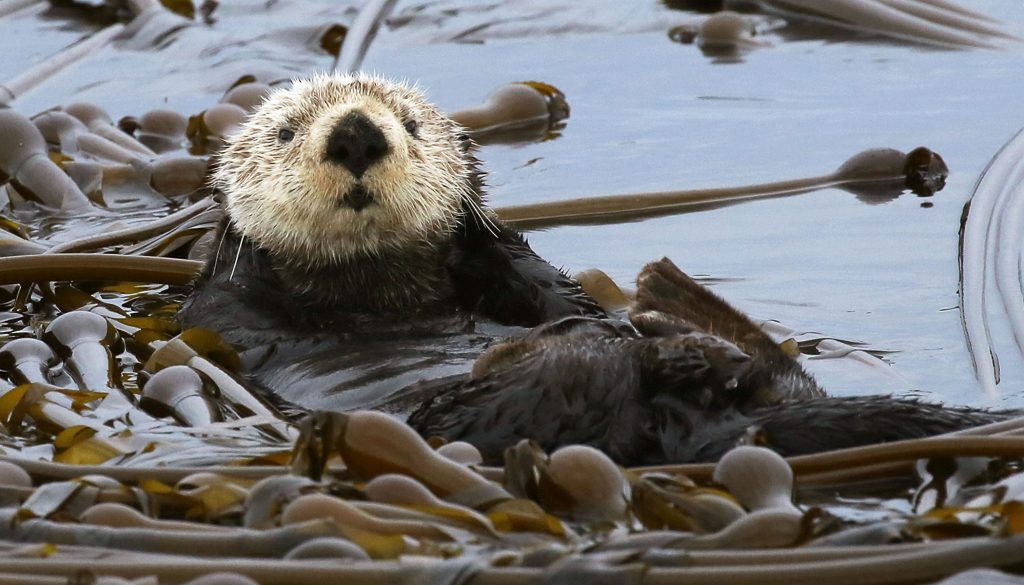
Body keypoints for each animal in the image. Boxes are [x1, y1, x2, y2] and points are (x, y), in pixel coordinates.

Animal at [180, 74, 1011, 467]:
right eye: (286, 131)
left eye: (411, 124)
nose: (357, 132)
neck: (380, 298)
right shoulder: (224, 319)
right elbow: (232, 310)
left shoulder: (524, 280)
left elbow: (545, 282)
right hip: (502, 410)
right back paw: (671, 327)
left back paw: (670, 308)